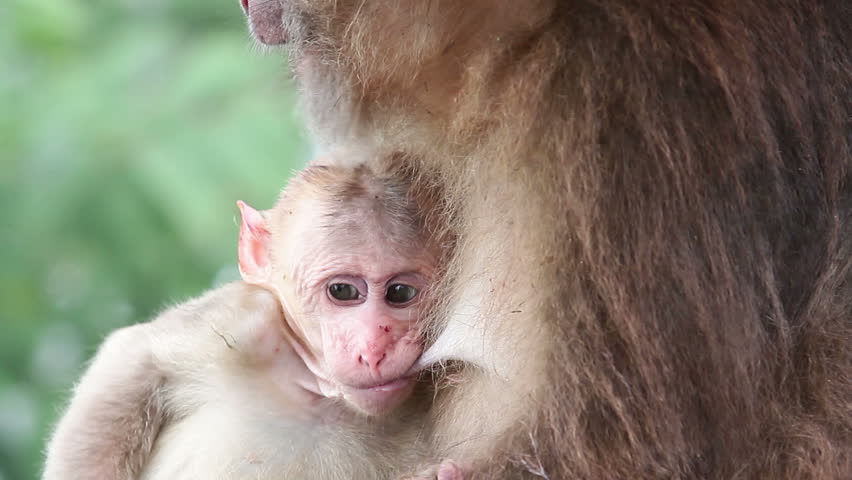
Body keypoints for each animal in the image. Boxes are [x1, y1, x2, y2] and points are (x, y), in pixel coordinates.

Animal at [45, 162, 460, 480]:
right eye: (343, 291)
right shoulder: (243, 319)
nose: (374, 347)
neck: (317, 393)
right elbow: (131, 355)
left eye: (400, 293)